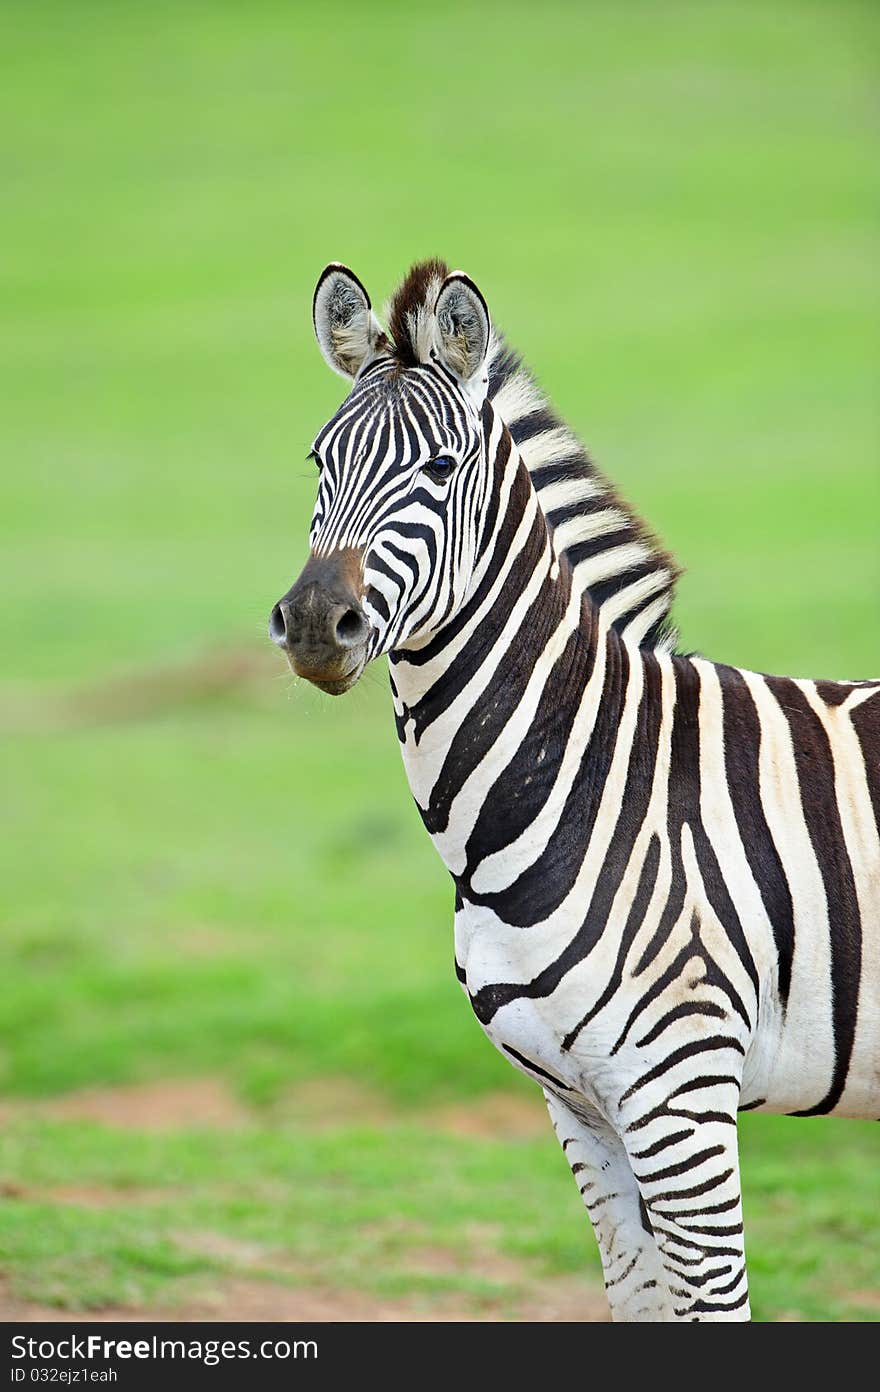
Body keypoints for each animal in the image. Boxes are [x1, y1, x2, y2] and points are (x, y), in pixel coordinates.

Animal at [268, 258, 880, 1314]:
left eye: (440, 470)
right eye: (317, 462)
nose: (313, 622)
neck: (582, 784)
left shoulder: (680, 1094)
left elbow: (716, 1301)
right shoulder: (578, 1103)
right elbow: (635, 1296)